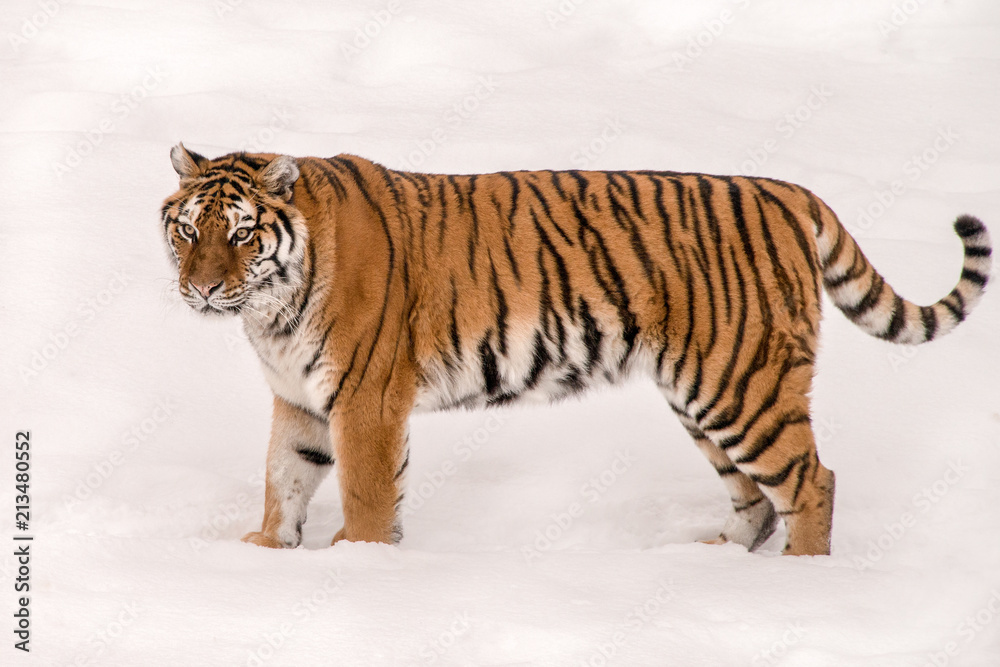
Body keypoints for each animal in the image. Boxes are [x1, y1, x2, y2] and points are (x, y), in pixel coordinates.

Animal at [160, 143, 991, 556]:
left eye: (242, 233)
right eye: (188, 230)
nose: (201, 289)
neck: (270, 309)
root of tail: (788, 191)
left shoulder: (364, 400)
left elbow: (365, 494)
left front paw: (359, 566)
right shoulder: (298, 398)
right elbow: (284, 479)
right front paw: (266, 552)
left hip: (741, 385)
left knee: (813, 481)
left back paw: (801, 580)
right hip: (704, 394)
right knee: (755, 497)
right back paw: (711, 562)